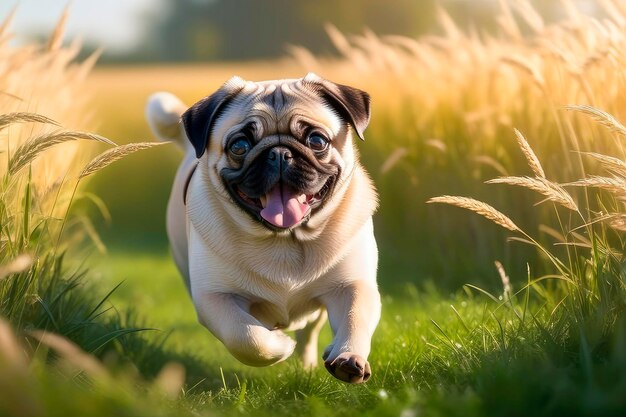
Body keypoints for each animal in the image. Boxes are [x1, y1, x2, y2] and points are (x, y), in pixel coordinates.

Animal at [145, 73, 380, 382]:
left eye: (317, 140)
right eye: (239, 147)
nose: (279, 153)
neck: (284, 240)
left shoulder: (353, 285)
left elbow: (356, 317)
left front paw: (348, 357)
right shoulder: (214, 298)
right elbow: (246, 337)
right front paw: (279, 346)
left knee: (309, 332)